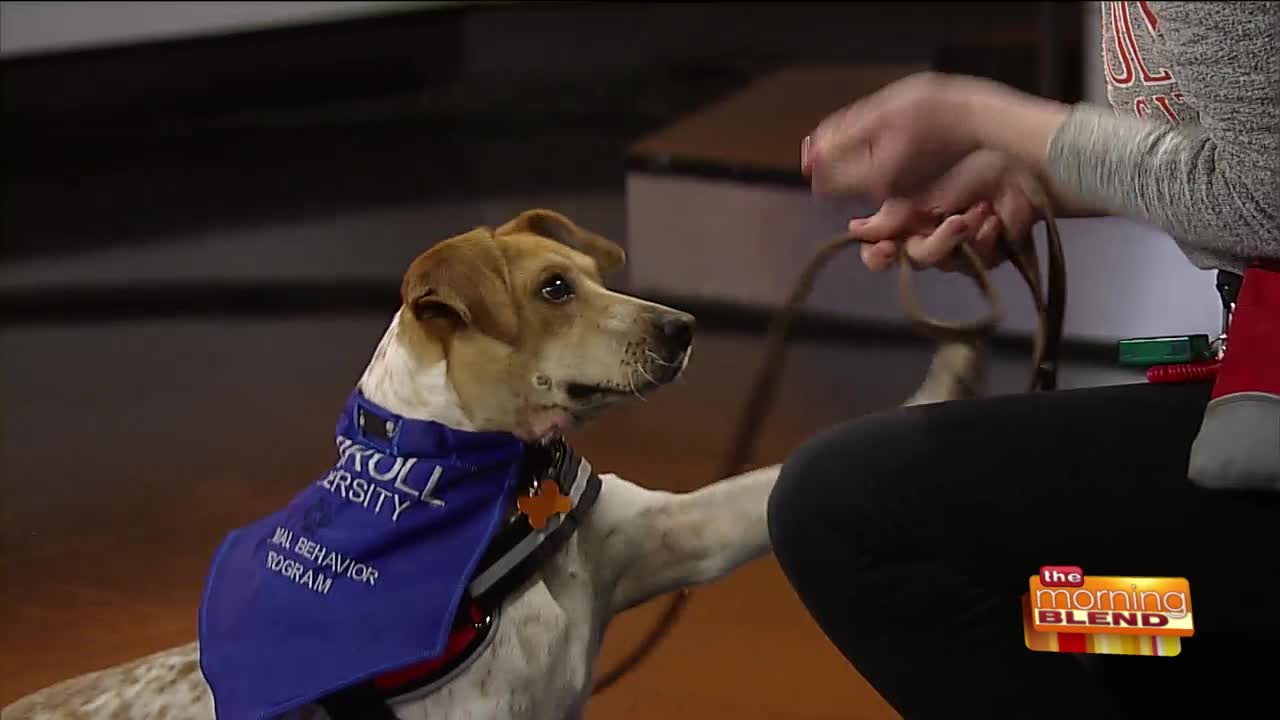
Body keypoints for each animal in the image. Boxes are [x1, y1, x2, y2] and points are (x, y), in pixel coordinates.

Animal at [0, 207, 983, 717]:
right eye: (554, 290)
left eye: (592, 275)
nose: (684, 327)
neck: (487, 492)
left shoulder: (673, 534)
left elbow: (767, 484)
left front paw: (957, 364)